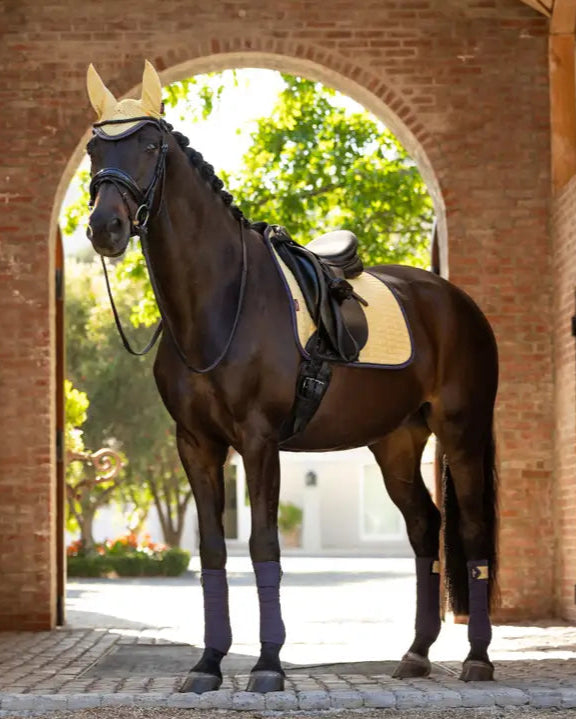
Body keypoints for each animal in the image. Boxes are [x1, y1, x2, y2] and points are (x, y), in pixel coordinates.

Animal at [84, 61, 499, 693]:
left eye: (150, 145)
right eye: (93, 148)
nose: (104, 226)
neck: (220, 303)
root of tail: (457, 302)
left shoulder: (259, 442)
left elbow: (263, 544)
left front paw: (268, 665)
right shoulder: (196, 444)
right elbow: (212, 549)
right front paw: (208, 664)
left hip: (462, 432)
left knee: (472, 531)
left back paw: (476, 658)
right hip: (397, 443)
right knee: (425, 527)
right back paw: (416, 654)